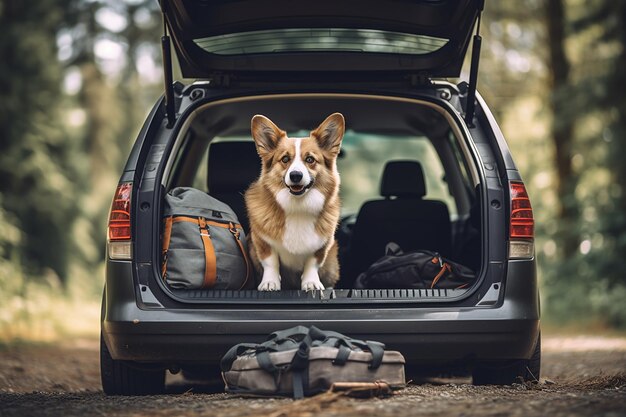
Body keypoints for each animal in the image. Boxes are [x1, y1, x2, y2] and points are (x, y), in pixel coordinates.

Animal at [244, 112, 344, 290]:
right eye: (285, 159)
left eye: (310, 159)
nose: (295, 175)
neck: (297, 205)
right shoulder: (262, 242)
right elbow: (270, 262)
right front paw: (270, 283)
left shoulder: (322, 246)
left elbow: (312, 264)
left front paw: (311, 283)